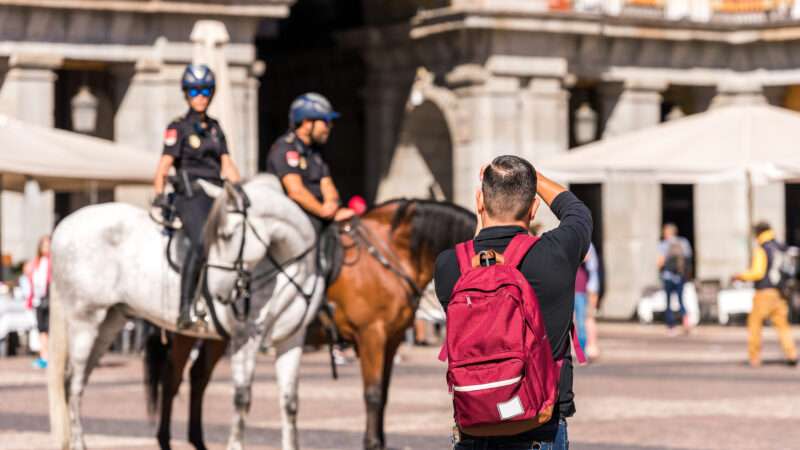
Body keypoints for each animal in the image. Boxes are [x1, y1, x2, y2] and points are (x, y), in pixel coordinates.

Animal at [45, 174, 322, 448]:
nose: (219, 292)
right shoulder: (245, 338)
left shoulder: (291, 339)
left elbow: (290, 403)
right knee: (72, 382)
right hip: (84, 321)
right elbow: (242, 399)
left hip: (109, 322)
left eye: (227, 235)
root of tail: (62, 226)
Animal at [145, 200, 476, 450]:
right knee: (172, 378)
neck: (388, 255)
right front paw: (372, 443)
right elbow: (373, 394)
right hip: (188, 333)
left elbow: (383, 395)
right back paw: (165, 439)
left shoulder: (392, 339)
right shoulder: (372, 335)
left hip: (218, 336)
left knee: (197, 377)